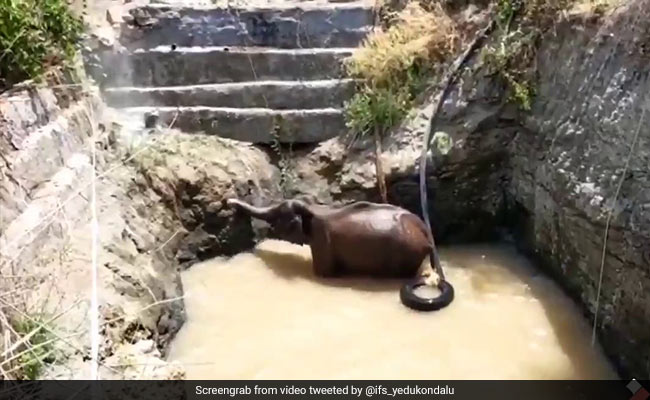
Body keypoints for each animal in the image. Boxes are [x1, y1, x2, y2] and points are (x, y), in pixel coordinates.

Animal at [225, 197, 454, 311]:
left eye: (276, 217)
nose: (228, 203)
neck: (313, 209)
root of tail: (426, 235)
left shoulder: (322, 242)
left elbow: (323, 274)